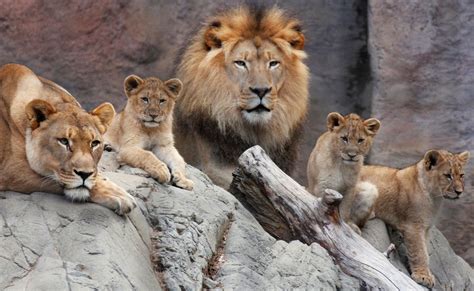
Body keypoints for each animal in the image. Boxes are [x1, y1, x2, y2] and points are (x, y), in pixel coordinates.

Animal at [354, 151, 468, 290]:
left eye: (461, 175)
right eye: (448, 176)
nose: (459, 192)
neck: (435, 198)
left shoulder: (425, 228)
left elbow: (425, 251)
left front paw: (427, 274)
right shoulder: (413, 226)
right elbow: (419, 251)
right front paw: (423, 277)